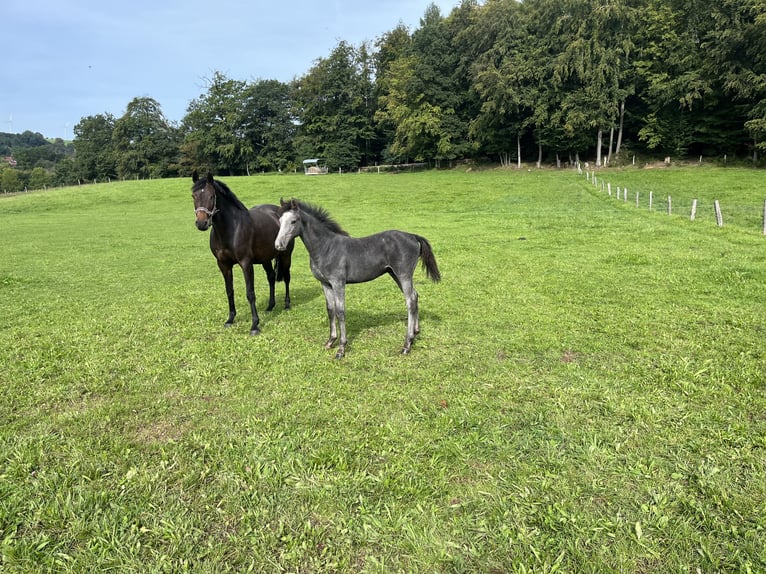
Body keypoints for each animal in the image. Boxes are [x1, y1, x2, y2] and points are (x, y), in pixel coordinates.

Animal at [192, 170, 294, 338]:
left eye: (212, 196)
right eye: (193, 196)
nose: (202, 223)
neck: (231, 229)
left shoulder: (246, 263)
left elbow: (250, 293)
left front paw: (254, 325)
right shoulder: (223, 265)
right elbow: (229, 291)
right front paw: (230, 319)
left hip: (286, 256)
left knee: (286, 278)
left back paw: (286, 305)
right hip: (265, 259)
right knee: (271, 277)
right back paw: (270, 306)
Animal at [276, 200, 444, 358]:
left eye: (293, 221)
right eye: (280, 220)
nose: (278, 245)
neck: (326, 248)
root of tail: (413, 236)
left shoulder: (338, 282)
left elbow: (340, 311)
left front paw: (341, 349)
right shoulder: (325, 283)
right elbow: (330, 310)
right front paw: (330, 342)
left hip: (403, 275)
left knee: (410, 301)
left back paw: (407, 344)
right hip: (395, 274)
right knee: (415, 296)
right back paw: (415, 333)